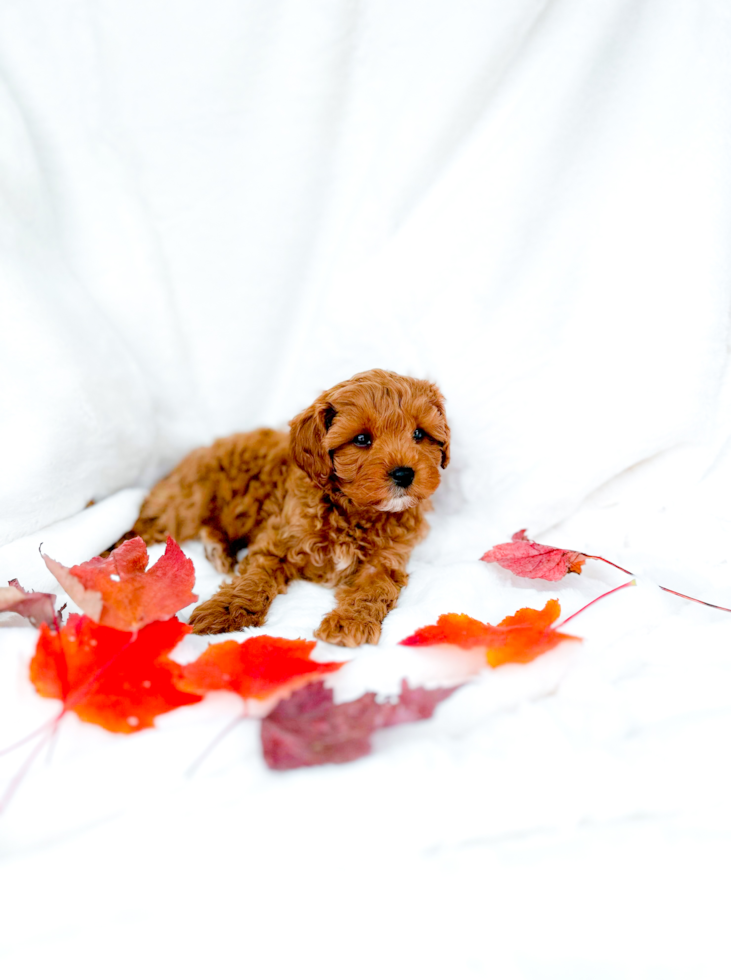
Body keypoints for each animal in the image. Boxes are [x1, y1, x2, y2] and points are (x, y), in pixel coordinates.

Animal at [134, 368, 448, 644]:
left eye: (419, 434)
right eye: (361, 439)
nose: (404, 474)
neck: (352, 511)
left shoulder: (387, 560)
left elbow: (373, 590)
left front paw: (351, 622)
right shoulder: (277, 543)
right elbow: (253, 579)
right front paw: (226, 611)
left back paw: (217, 551)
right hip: (185, 503)